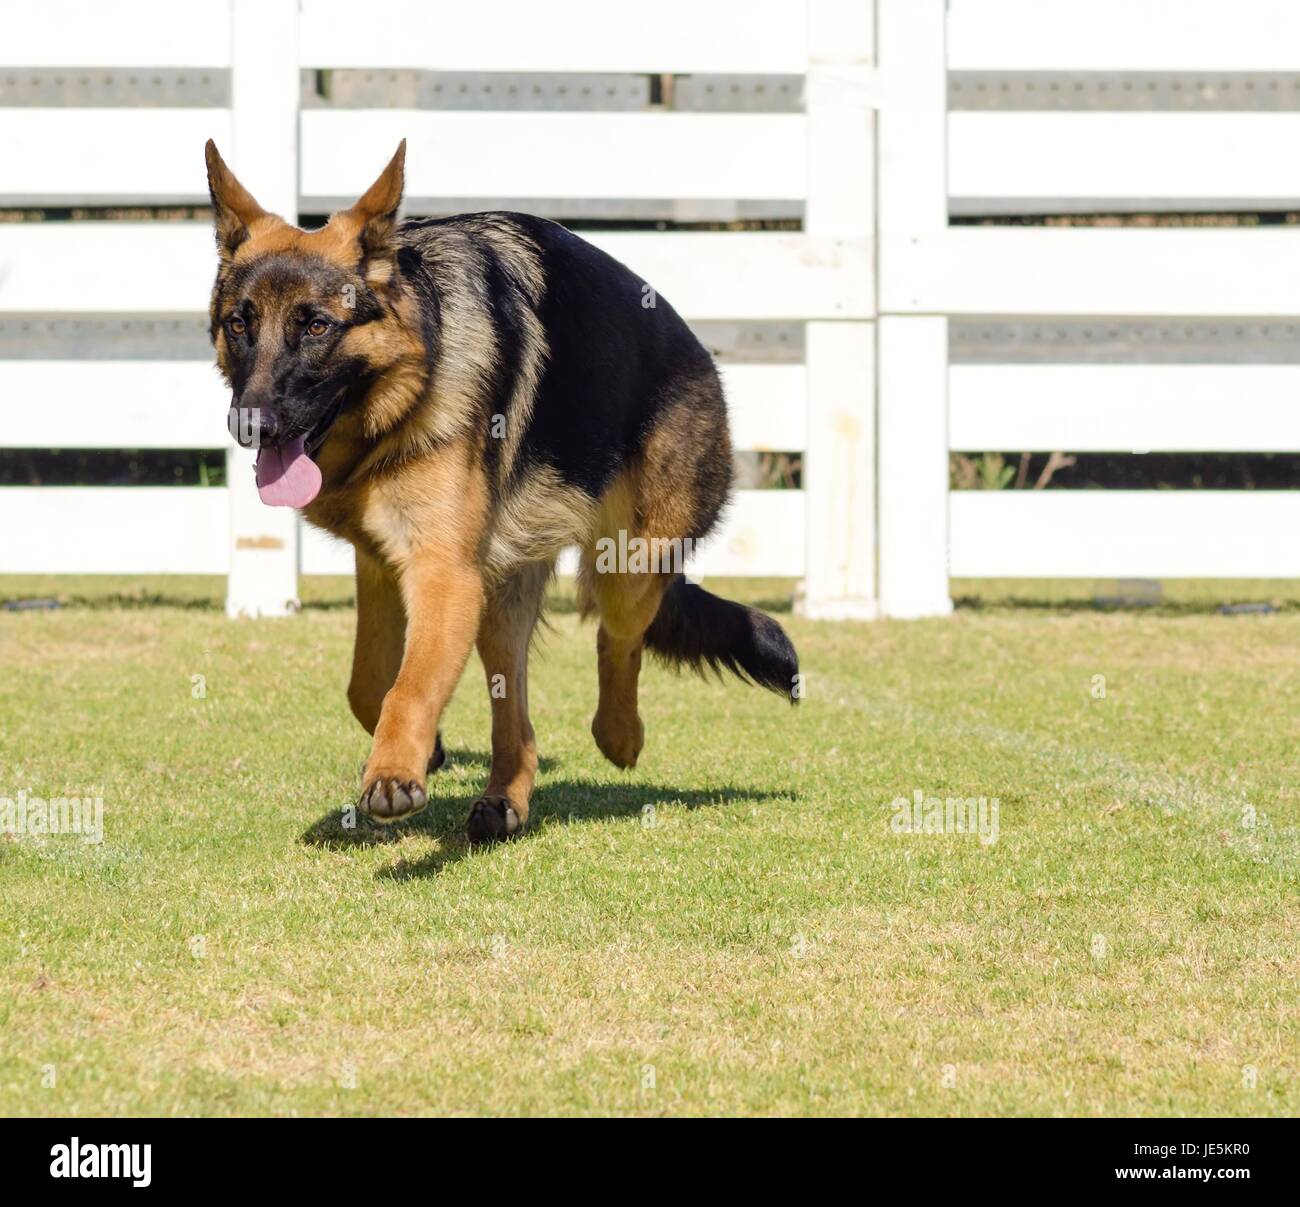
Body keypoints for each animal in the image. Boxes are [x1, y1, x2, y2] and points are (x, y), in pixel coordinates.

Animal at [205, 139, 790, 837]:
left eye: (317, 326)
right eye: (239, 324)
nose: (252, 423)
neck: (408, 391)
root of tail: (701, 354)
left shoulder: (442, 573)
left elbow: (407, 685)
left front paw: (394, 772)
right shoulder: (385, 566)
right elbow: (368, 683)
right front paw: (422, 750)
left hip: (627, 563)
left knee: (617, 637)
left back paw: (619, 735)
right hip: (497, 596)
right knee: (519, 710)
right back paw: (505, 798)